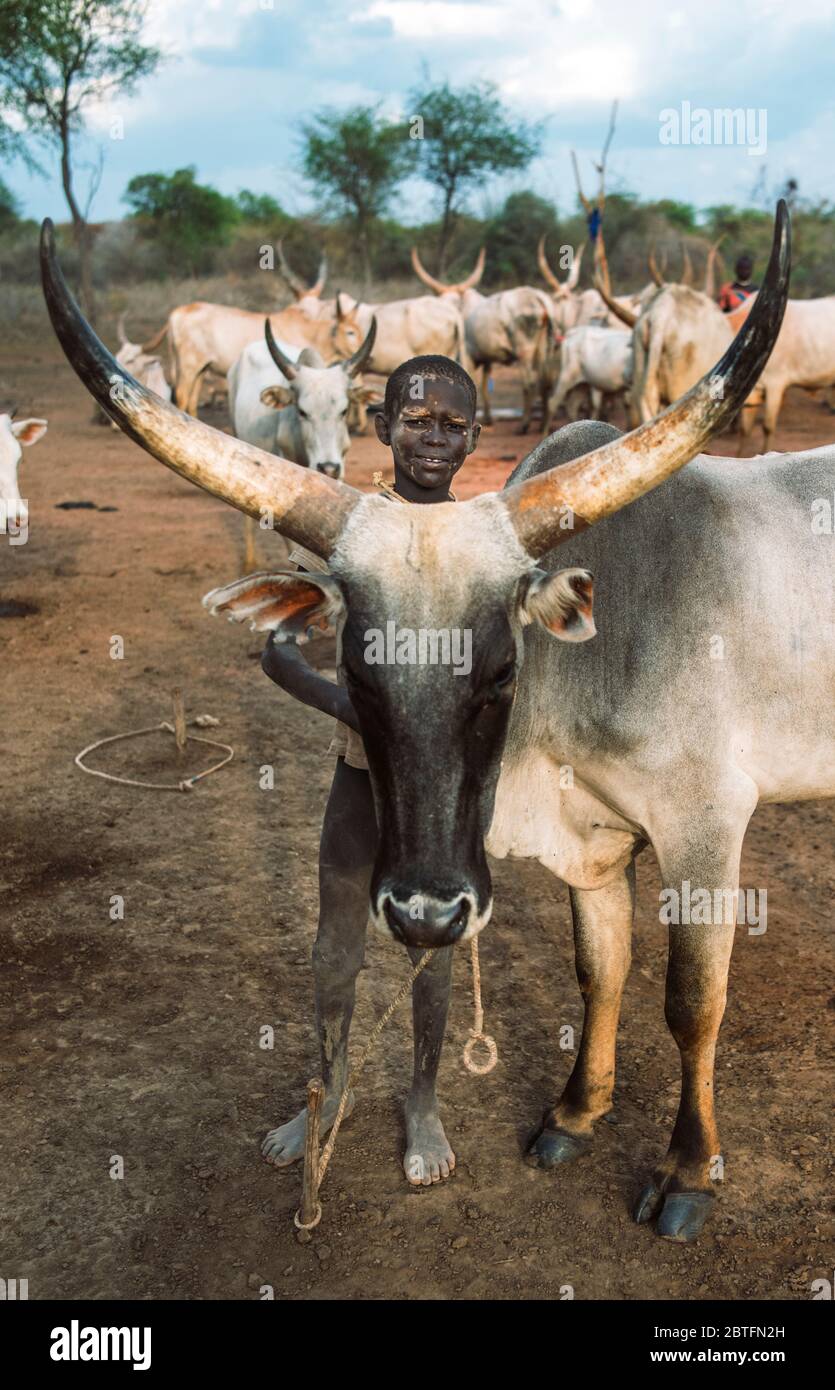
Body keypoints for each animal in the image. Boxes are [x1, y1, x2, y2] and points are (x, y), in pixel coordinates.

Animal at [39, 201, 828, 1245]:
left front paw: (689, 1172)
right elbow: (599, 969)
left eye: (499, 673)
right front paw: (573, 1115)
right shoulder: (594, 838)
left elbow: (690, 1003)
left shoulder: (705, 826)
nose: (424, 912)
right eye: (355, 673)